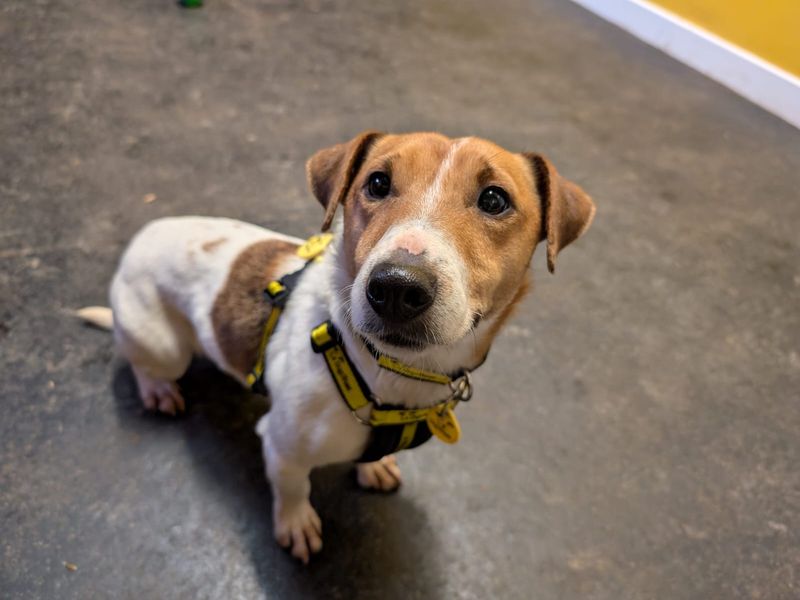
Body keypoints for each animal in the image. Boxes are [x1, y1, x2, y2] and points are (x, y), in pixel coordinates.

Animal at [79, 130, 592, 564]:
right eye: (377, 183)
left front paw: (374, 466)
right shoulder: (281, 446)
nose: (396, 288)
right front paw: (296, 524)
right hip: (163, 345)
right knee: (142, 362)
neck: (387, 371)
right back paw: (158, 390)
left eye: (494, 199)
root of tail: (142, 237)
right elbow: (292, 490)